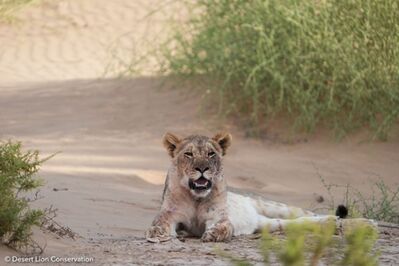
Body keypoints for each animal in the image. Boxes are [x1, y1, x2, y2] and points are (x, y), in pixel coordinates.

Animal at [145, 132, 376, 242]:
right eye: (189, 154)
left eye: (211, 154)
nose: (202, 168)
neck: (196, 197)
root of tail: (256, 218)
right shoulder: (171, 214)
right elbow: (159, 223)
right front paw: (158, 233)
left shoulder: (219, 216)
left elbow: (223, 226)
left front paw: (213, 235)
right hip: (271, 224)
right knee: (304, 223)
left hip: (275, 206)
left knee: (315, 215)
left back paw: (367, 223)